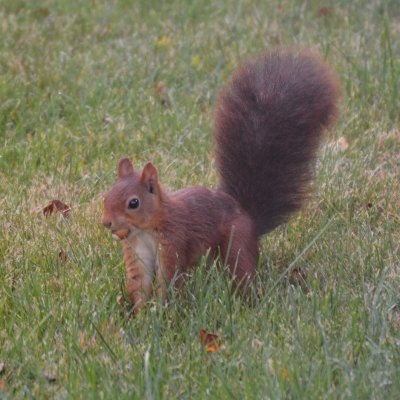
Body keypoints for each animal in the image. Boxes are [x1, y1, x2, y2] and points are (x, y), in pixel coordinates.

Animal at [101, 49, 340, 312]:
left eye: (133, 203)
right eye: (106, 196)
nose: (106, 223)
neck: (146, 229)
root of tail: (248, 216)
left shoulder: (174, 241)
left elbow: (169, 278)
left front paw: (164, 311)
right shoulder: (137, 250)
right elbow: (139, 282)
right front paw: (139, 314)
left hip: (237, 242)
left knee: (241, 271)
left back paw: (246, 303)